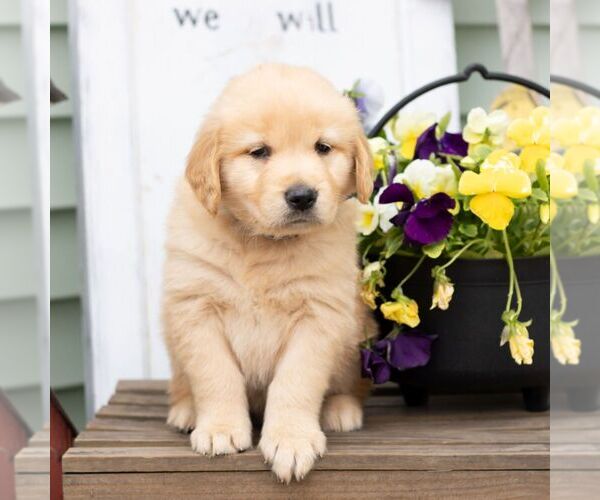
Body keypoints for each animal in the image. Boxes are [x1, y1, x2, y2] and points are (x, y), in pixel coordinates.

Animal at [162, 62, 372, 480]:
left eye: (323, 147)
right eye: (259, 152)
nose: (302, 195)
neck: (263, 243)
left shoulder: (319, 314)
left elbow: (296, 381)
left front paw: (291, 440)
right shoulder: (196, 306)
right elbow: (215, 374)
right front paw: (220, 428)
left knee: (346, 384)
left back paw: (341, 408)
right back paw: (187, 409)